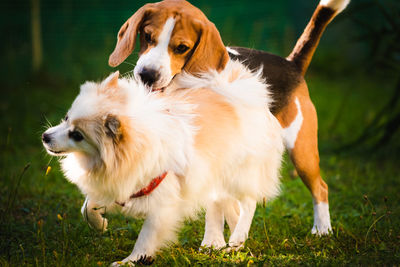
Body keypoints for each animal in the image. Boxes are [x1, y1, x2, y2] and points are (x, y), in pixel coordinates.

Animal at [42, 61, 282, 266]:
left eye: (77, 135)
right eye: (66, 118)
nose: (45, 136)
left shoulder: (162, 204)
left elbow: (145, 238)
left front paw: (130, 261)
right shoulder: (120, 186)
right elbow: (87, 206)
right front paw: (99, 224)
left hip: (238, 173)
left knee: (249, 202)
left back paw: (238, 236)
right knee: (225, 205)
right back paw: (231, 244)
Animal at [108, 0, 350, 237]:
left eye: (181, 48)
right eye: (147, 36)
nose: (147, 75)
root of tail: (292, 64)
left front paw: (212, 241)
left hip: (302, 151)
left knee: (321, 188)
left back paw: (322, 229)